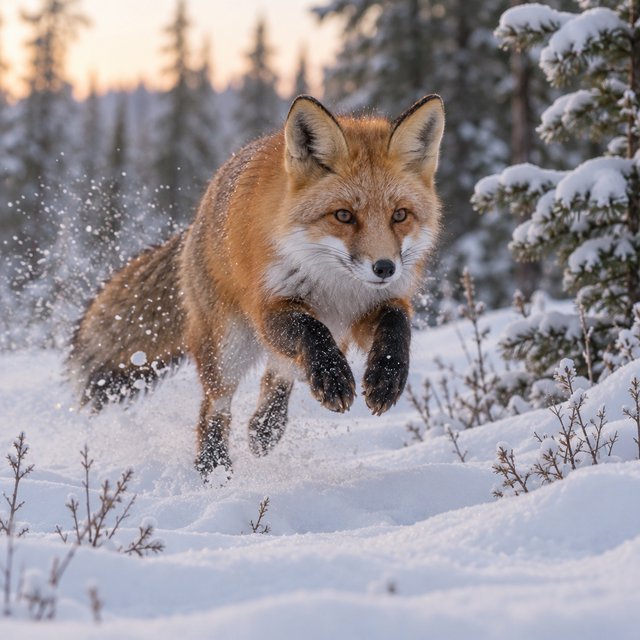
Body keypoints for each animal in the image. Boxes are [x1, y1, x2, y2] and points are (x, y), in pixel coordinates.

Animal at [69, 94, 445, 478]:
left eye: (399, 215)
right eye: (343, 216)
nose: (384, 268)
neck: (337, 288)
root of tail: (195, 221)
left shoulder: (372, 308)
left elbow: (397, 327)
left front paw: (386, 379)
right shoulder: (269, 306)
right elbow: (311, 332)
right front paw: (334, 378)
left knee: (280, 373)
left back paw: (265, 429)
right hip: (227, 346)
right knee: (215, 407)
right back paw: (213, 467)